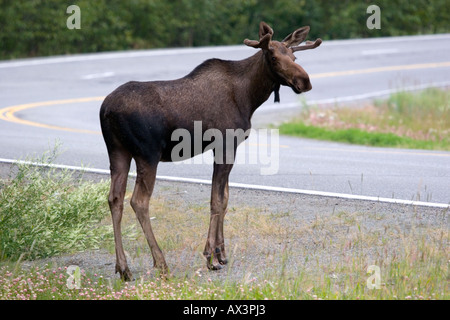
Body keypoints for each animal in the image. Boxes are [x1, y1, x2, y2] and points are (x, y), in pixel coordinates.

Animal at [100, 21, 322, 280]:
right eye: (274, 58)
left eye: (294, 56)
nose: (304, 81)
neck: (250, 96)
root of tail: (106, 110)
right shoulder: (226, 143)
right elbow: (216, 200)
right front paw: (210, 257)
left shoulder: (225, 147)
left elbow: (225, 198)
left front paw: (221, 253)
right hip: (147, 154)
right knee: (139, 201)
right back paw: (161, 263)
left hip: (117, 151)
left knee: (115, 198)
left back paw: (123, 267)